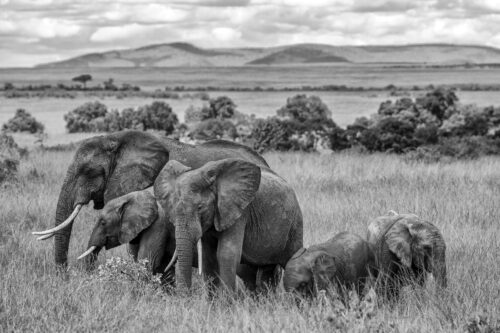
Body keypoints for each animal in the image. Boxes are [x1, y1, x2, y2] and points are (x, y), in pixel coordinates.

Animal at [152, 158, 302, 290]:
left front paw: (226, 303)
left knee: (293, 260)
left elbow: (227, 254)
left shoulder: (239, 212)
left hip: (295, 223)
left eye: (200, 208)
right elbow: (209, 259)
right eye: (174, 209)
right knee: (264, 271)